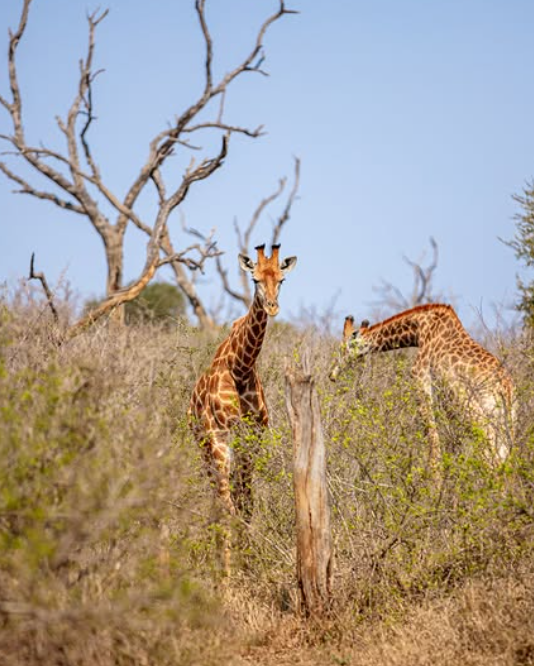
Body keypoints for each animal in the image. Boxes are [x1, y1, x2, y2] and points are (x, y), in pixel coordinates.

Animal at [188, 243, 300, 520]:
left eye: (282, 279)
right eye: (255, 279)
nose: (272, 307)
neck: (241, 367)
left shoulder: (254, 437)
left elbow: (246, 500)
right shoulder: (222, 435)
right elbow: (229, 501)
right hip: (205, 444)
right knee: (219, 494)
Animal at [328, 304, 516, 466]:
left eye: (342, 349)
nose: (331, 374)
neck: (418, 329)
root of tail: (505, 387)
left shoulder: (419, 375)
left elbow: (432, 438)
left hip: (472, 405)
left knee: (490, 449)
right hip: (506, 417)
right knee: (503, 454)